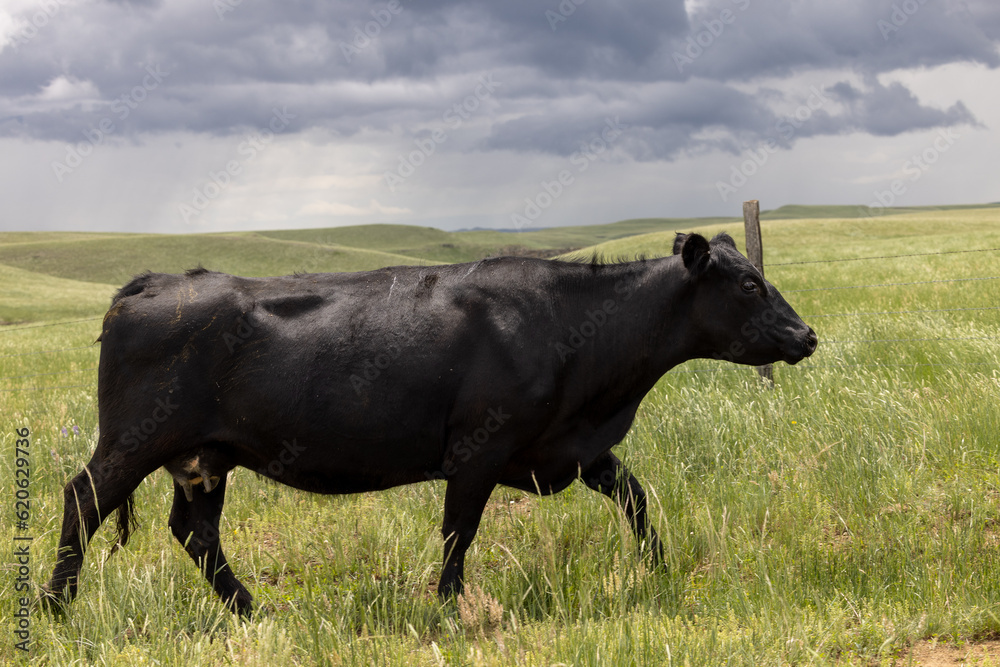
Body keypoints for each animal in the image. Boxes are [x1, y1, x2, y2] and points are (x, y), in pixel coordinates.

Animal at [43, 231, 816, 615]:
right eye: (750, 283)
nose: (806, 335)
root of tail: (157, 282)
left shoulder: (575, 446)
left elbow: (637, 497)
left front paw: (657, 570)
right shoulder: (479, 448)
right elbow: (458, 531)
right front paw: (448, 608)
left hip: (206, 456)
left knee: (196, 533)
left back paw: (254, 611)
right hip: (134, 440)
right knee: (83, 500)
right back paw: (54, 607)